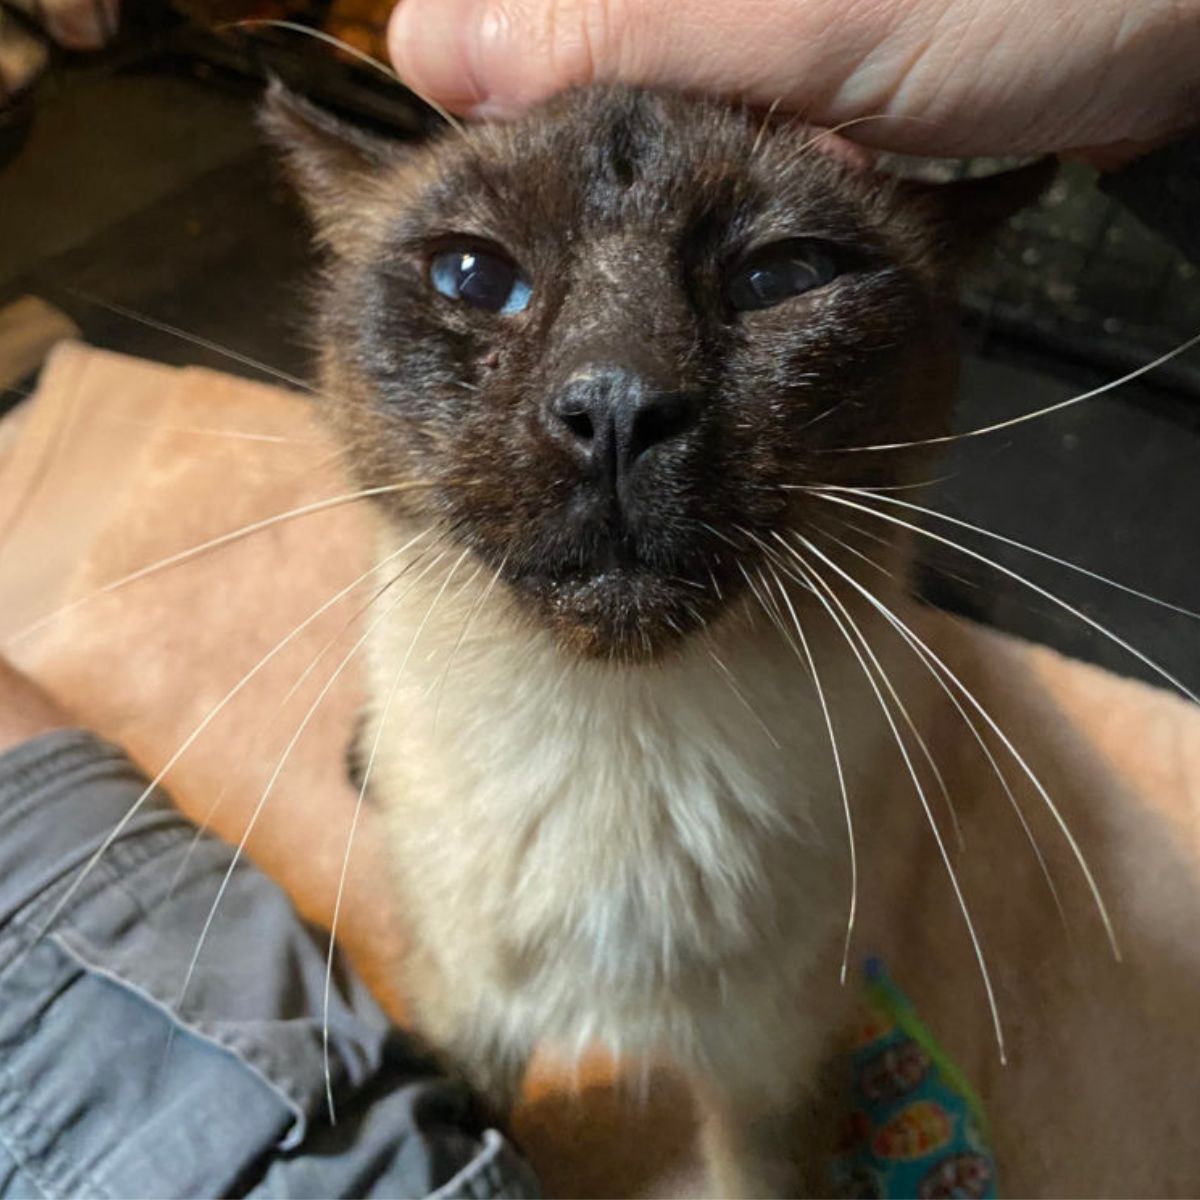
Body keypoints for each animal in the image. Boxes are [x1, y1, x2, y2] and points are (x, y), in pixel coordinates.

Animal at [260, 79, 1200, 1195]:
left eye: (779, 277)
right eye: (474, 277)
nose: (615, 405)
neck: (617, 756)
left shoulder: (772, 1076)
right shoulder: (465, 1029)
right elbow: (463, 1131)